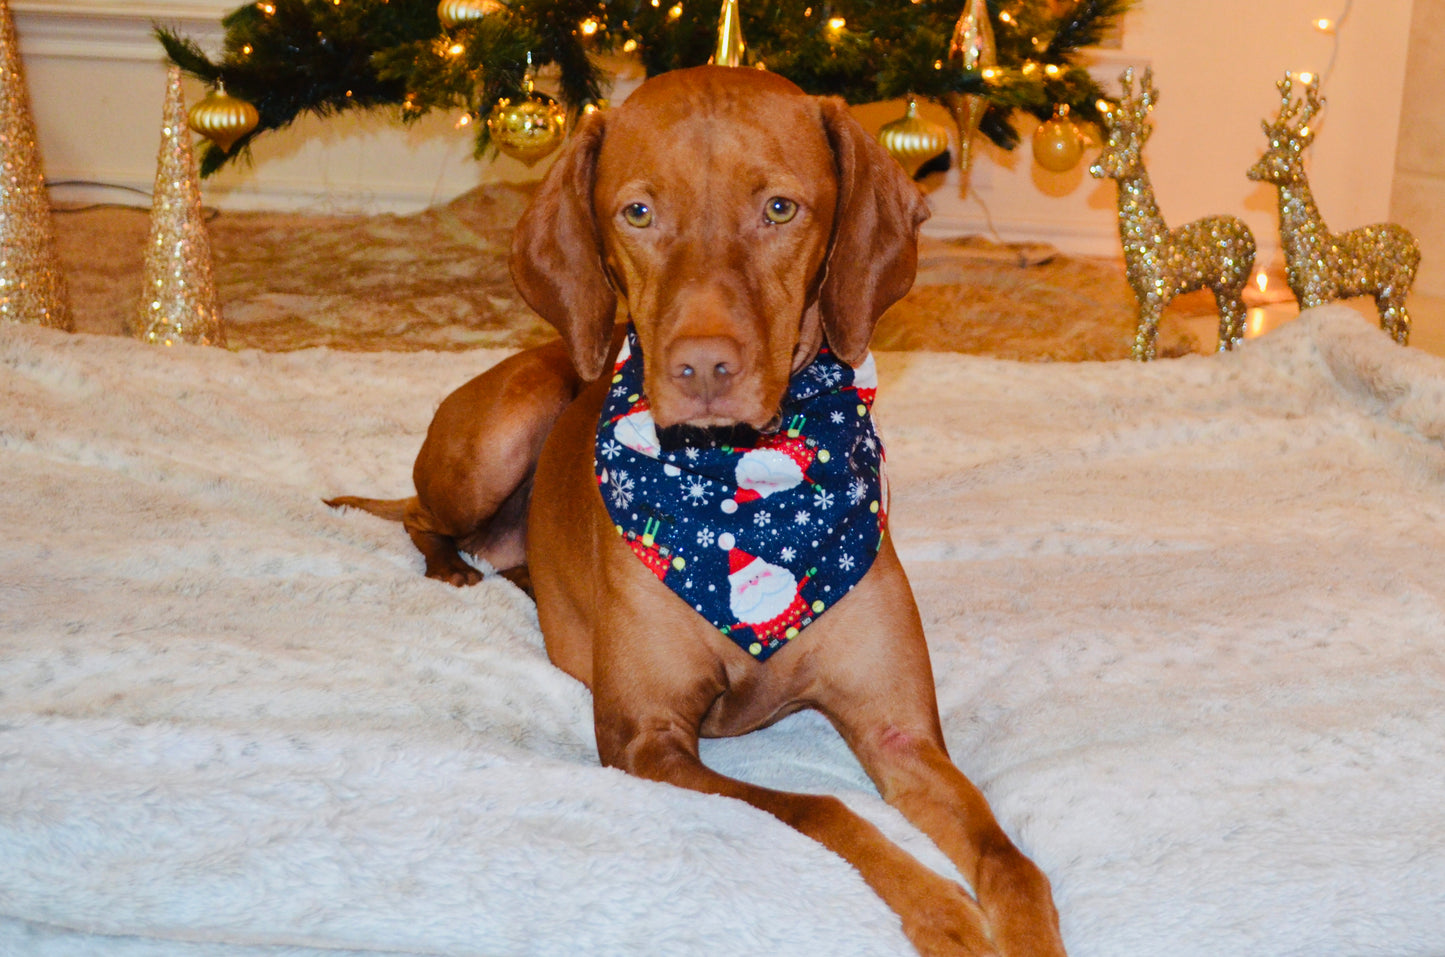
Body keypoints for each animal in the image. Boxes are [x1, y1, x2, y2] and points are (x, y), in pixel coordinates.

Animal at [332, 67, 1069, 957]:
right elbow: (820, 807)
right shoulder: (644, 737)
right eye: (637, 212)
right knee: (417, 514)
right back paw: (452, 570)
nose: (704, 366)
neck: (742, 502)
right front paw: (943, 911)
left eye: (780, 208)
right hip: (506, 422)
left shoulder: (900, 732)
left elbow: (1011, 860)